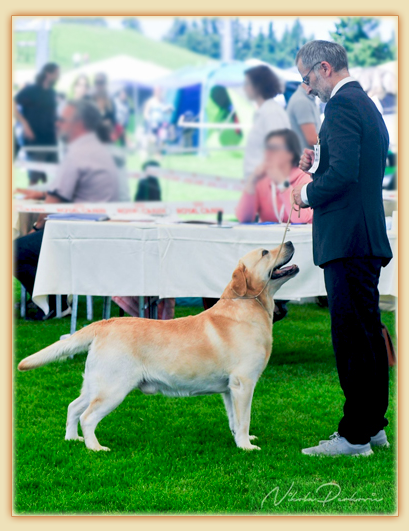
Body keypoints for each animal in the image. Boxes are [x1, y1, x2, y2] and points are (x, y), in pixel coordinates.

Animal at [18, 243, 296, 450]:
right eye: (265, 252)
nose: (291, 242)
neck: (249, 307)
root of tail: (106, 323)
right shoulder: (243, 383)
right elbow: (244, 418)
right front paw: (246, 447)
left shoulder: (229, 389)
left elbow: (235, 420)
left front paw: (241, 439)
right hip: (113, 388)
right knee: (87, 417)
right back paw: (95, 447)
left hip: (95, 383)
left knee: (73, 407)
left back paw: (72, 439)